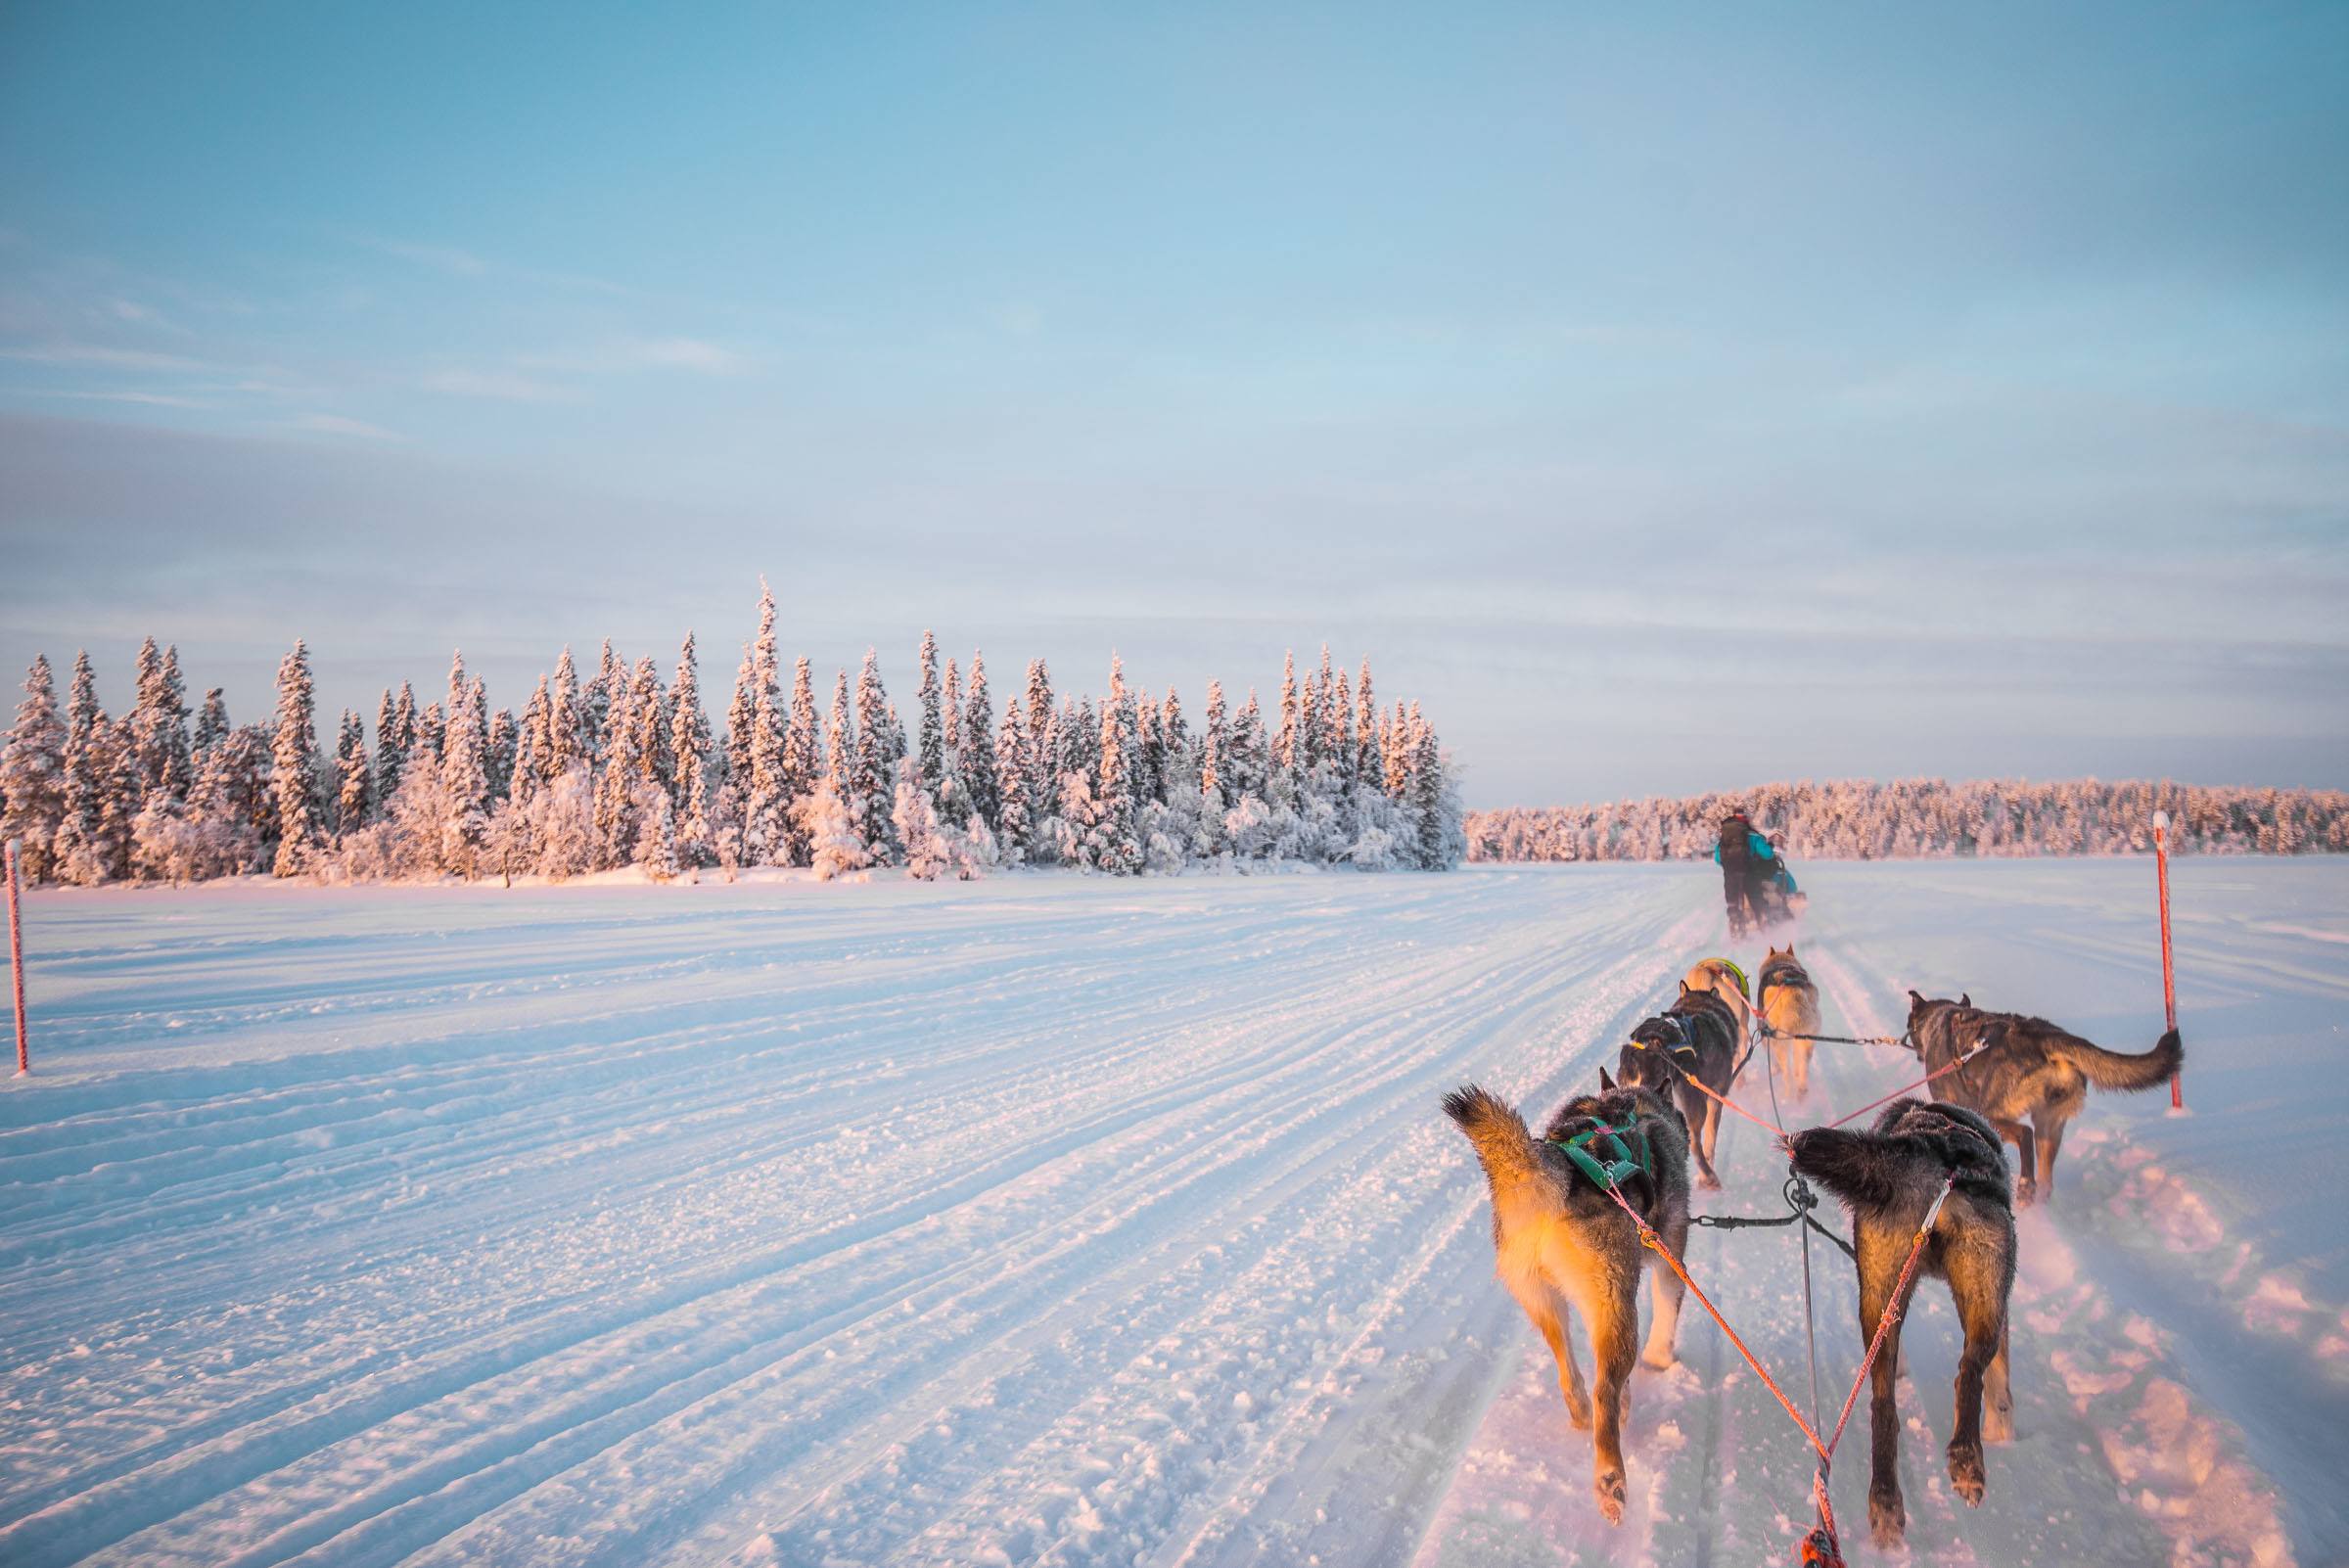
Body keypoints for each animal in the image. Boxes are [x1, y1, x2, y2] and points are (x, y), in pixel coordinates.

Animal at [1437, 1080, 1700, 1521]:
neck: (1638, 1104)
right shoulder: (1670, 1256)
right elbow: (1667, 1313)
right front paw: (1661, 1359)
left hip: (1545, 1303)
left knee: (1568, 1369)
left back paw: (1583, 1411)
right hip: (1618, 1308)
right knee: (1604, 1390)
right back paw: (1610, 1478)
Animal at [1616, 986, 1747, 1192]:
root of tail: (1645, 1049)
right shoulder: (1715, 1095)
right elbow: (1710, 1139)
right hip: (1694, 1106)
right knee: (1694, 1142)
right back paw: (1708, 1177)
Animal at [1757, 944, 1822, 1103]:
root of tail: (1791, 992)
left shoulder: (1765, 1034)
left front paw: (1775, 1070)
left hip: (1779, 1042)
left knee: (1787, 1073)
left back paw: (1787, 1097)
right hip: (1807, 1039)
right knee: (1803, 1064)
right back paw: (1801, 1089)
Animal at [1785, 1098, 2010, 1548]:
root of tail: (1940, 1156)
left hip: (1884, 1294)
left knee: (1885, 1404)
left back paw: (1891, 1498)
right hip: (1980, 1298)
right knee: (1970, 1371)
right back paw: (1967, 1461)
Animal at [1907, 991, 2180, 1201]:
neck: (1943, 1019)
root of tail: (2045, 1039)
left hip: (1993, 1114)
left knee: (2025, 1134)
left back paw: (2026, 1186)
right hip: (2050, 1124)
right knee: (2047, 1178)